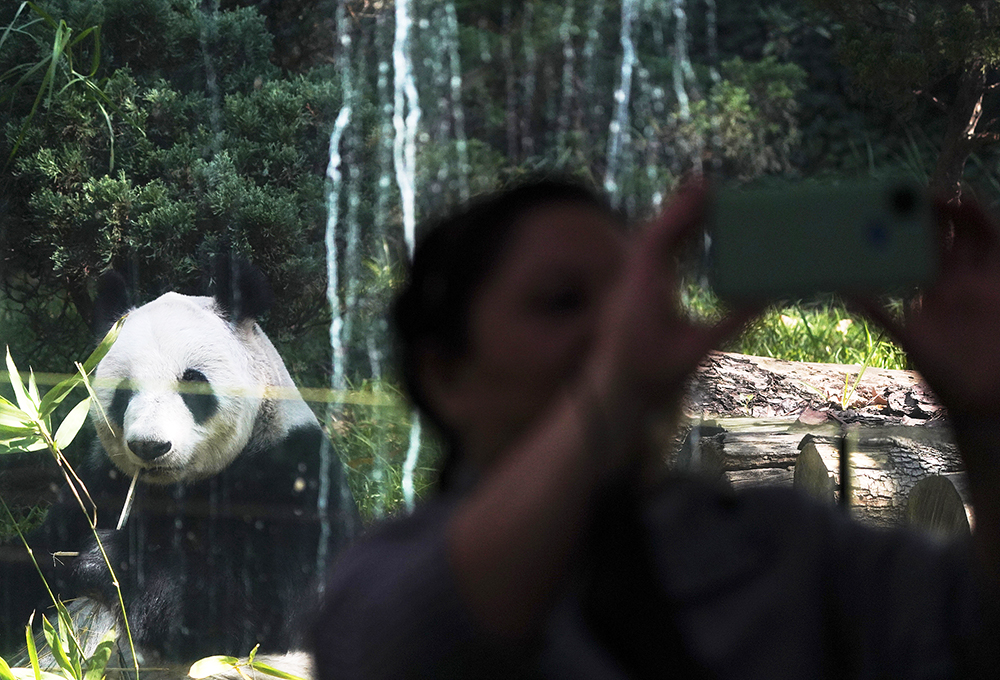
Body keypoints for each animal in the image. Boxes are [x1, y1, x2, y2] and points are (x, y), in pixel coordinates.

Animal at [1, 262, 362, 668]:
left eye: (193, 383)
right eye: (125, 389)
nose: (150, 446)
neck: (182, 485)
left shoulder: (294, 477)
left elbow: (265, 605)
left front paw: (109, 559)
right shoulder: (99, 484)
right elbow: (33, 561)